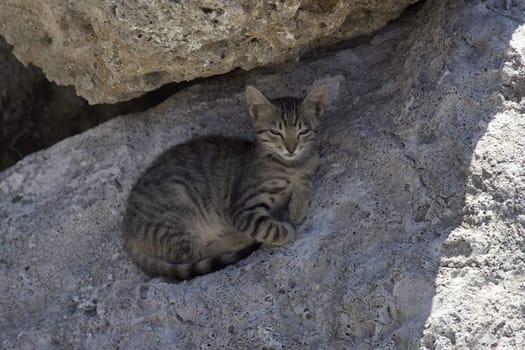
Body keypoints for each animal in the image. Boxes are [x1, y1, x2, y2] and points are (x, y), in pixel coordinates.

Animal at [123, 83, 328, 280]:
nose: (291, 149)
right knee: (195, 254)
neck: (291, 165)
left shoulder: (310, 165)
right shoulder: (242, 209)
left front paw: (298, 206)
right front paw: (286, 231)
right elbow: (266, 227)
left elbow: (306, 181)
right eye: (275, 132)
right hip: (178, 211)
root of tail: (128, 232)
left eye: (303, 131)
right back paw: (238, 239)